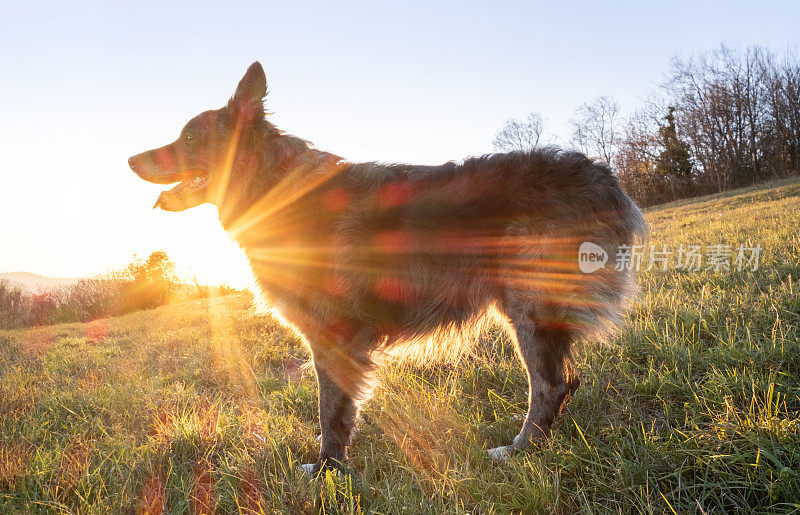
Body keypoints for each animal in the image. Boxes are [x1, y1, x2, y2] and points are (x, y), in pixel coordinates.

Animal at [128, 61, 648, 476]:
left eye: (189, 137)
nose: (130, 159)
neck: (274, 186)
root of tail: (604, 176)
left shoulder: (332, 336)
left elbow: (330, 412)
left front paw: (328, 470)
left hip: (531, 310)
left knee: (551, 385)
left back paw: (520, 450)